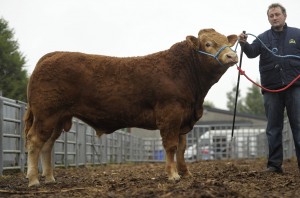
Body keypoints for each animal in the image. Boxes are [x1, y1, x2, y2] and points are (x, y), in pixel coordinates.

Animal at [24, 28, 238, 186]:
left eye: (228, 43)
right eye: (208, 44)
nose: (232, 56)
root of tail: (51, 55)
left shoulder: (183, 119)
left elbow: (182, 148)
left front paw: (185, 173)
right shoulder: (170, 115)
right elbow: (171, 146)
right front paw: (173, 175)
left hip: (58, 118)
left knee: (48, 145)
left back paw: (50, 178)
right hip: (46, 114)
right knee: (34, 141)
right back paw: (34, 179)